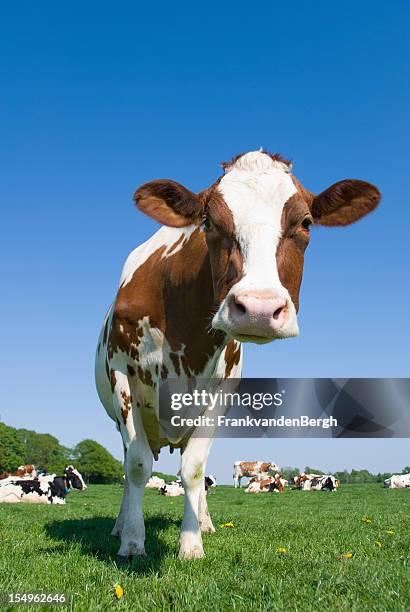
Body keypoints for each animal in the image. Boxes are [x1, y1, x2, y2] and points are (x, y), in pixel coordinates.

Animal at [95, 147, 382, 560]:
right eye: (208, 222)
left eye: (306, 222)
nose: (260, 308)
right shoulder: (123, 377)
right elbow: (136, 465)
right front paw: (133, 541)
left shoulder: (221, 393)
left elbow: (194, 468)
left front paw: (191, 542)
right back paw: (120, 525)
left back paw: (204, 521)